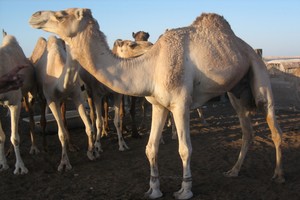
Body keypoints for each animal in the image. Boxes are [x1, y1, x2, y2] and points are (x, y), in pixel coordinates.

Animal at [0, 30, 37, 173]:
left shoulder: (15, 103)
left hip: (27, 94)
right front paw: (3, 164)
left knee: (30, 116)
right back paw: (9, 152)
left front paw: (20, 167)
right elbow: (2, 137)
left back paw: (34, 148)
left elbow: (15, 138)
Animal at [29, 35, 97, 170]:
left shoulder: (77, 96)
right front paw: (64, 163)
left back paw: (71, 146)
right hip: (40, 96)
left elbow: (89, 127)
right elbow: (61, 134)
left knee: (64, 120)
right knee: (42, 119)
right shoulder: (52, 100)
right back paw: (43, 147)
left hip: (62, 100)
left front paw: (91, 152)